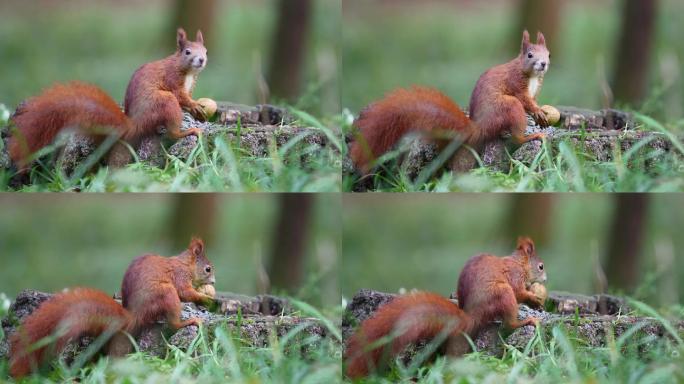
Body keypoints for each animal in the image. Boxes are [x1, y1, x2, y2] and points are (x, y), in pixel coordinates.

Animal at [8, 28, 208, 170]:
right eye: (187, 52)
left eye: (205, 51)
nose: (201, 60)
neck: (188, 72)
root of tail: (134, 124)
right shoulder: (172, 80)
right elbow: (180, 96)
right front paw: (194, 105)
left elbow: (187, 98)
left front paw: (194, 107)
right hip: (163, 101)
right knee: (171, 130)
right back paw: (187, 131)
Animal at [8, 237, 214, 378]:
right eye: (208, 269)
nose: (213, 281)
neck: (185, 264)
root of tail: (134, 315)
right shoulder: (179, 277)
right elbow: (185, 292)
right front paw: (207, 298)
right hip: (166, 294)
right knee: (173, 323)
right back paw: (188, 321)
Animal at [344, 237, 548, 378]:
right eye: (541, 266)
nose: (546, 279)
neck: (519, 263)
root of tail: (472, 315)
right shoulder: (514, 277)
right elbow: (519, 292)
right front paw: (533, 297)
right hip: (502, 294)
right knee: (509, 323)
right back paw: (525, 321)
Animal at [352, 31, 552, 172]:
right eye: (530, 55)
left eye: (548, 54)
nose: (543, 64)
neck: (532, 76)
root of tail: (479, 128)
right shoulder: (515, 84)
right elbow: (525, 100)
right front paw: (537, 112)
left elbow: (533, 100)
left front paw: (540, 112)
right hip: (507, 106)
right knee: (516, 133)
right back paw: (530, 136)